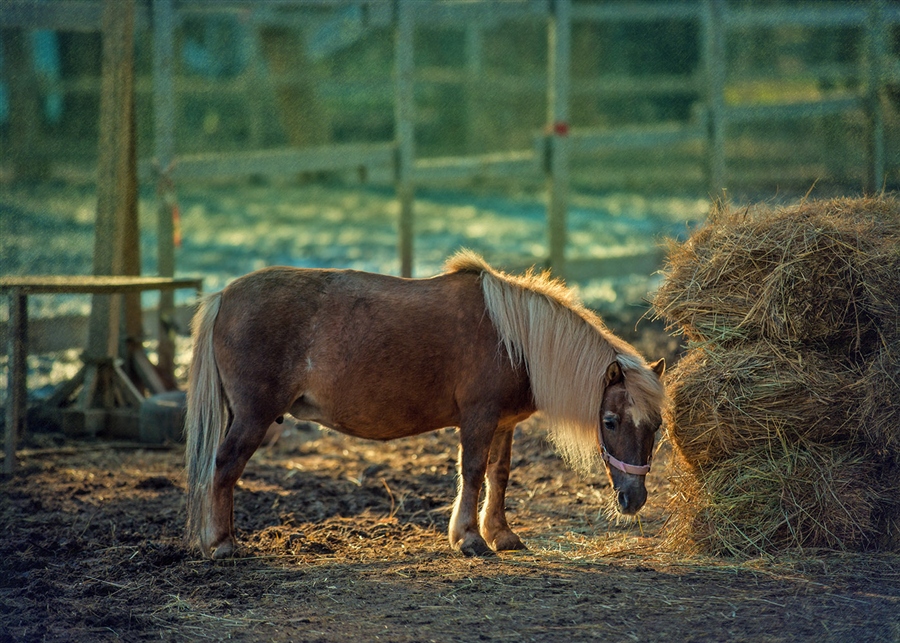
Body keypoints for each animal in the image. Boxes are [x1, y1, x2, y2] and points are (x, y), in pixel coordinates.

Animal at [186, 252, 664, 560]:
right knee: (224, 467)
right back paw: (222, 544)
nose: (634, 500)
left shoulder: (504, 424)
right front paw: (469, 539)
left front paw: (500, 534)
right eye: (610, 421)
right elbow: (472, 472)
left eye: (657, 427)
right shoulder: (478, 418)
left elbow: (499, 474)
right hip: (252, 418)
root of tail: (223, 297)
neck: (516, 341)